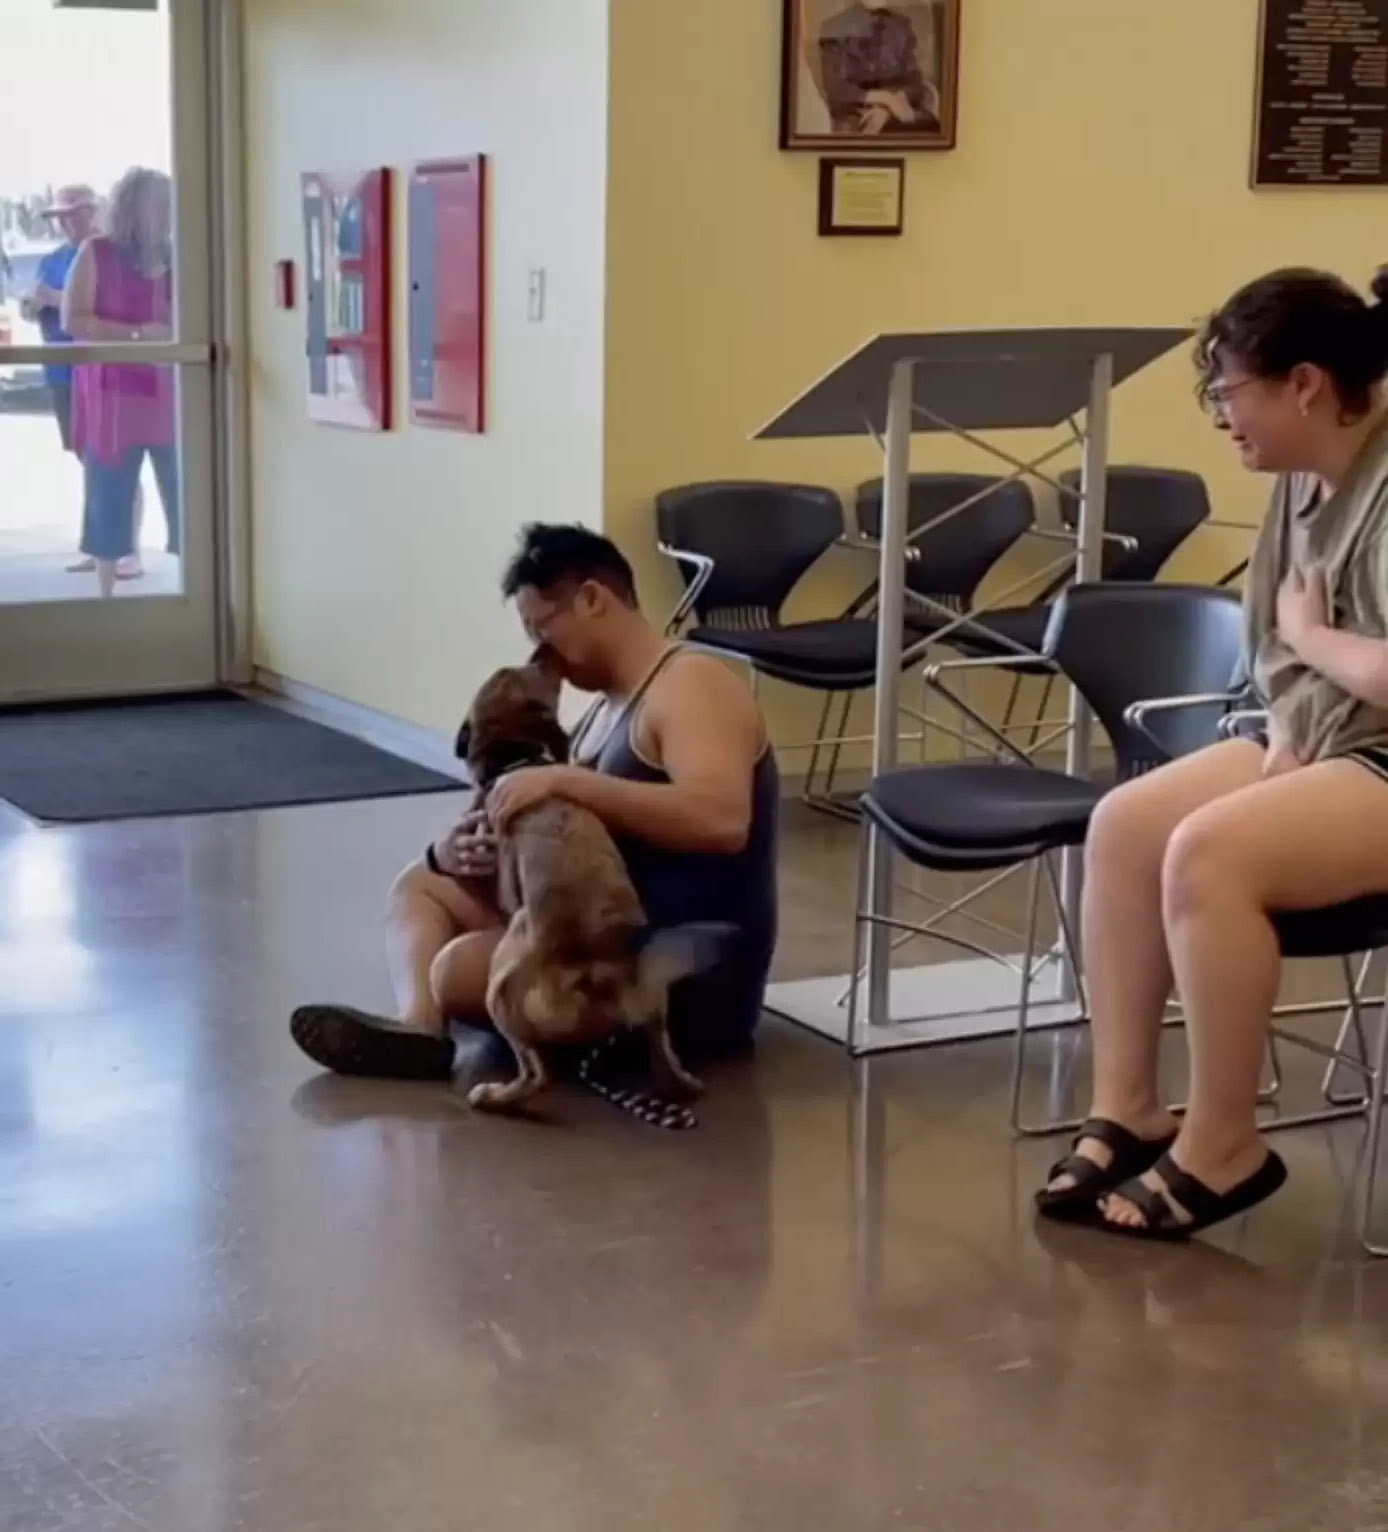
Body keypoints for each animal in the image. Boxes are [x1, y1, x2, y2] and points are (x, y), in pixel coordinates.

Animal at [455, 660, 724, 1119]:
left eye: (507, 673)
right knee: (661, 1052)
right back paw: (682, 1084)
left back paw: (495, 1097)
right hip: (653, 996)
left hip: (503, 977)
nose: (543, 654)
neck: (519, 759)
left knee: (538, 1075)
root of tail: (595, 968)